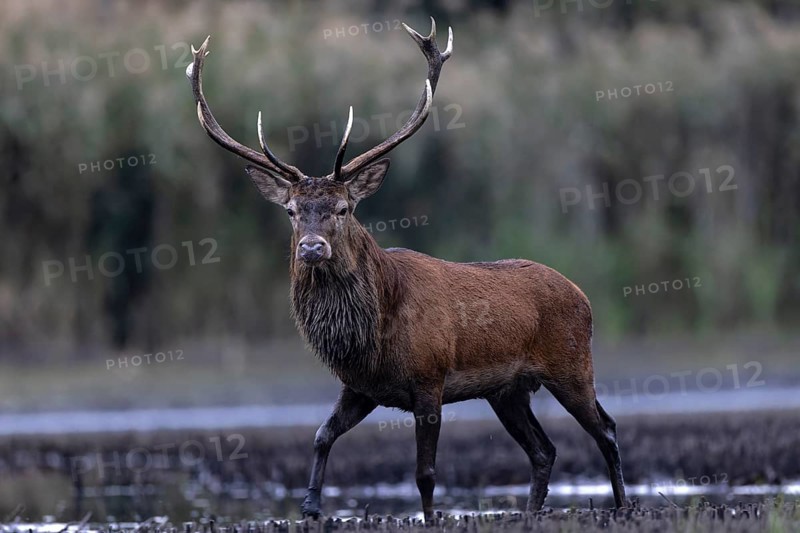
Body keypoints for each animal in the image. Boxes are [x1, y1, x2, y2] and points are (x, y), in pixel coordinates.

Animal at [186, 18, 626, 521]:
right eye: (292, 211)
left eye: (344, 208)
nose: (312, 248)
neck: (373, 334)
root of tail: (582, 295)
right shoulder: (360, 386)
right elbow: (321, 435)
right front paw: (311, 505)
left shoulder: (430, 381)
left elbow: (425, 472)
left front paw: (431, 517)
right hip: (508, 390)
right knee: (544, 449)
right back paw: (533, 511)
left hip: (572, 364)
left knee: (606, 428)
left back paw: (622, 504)